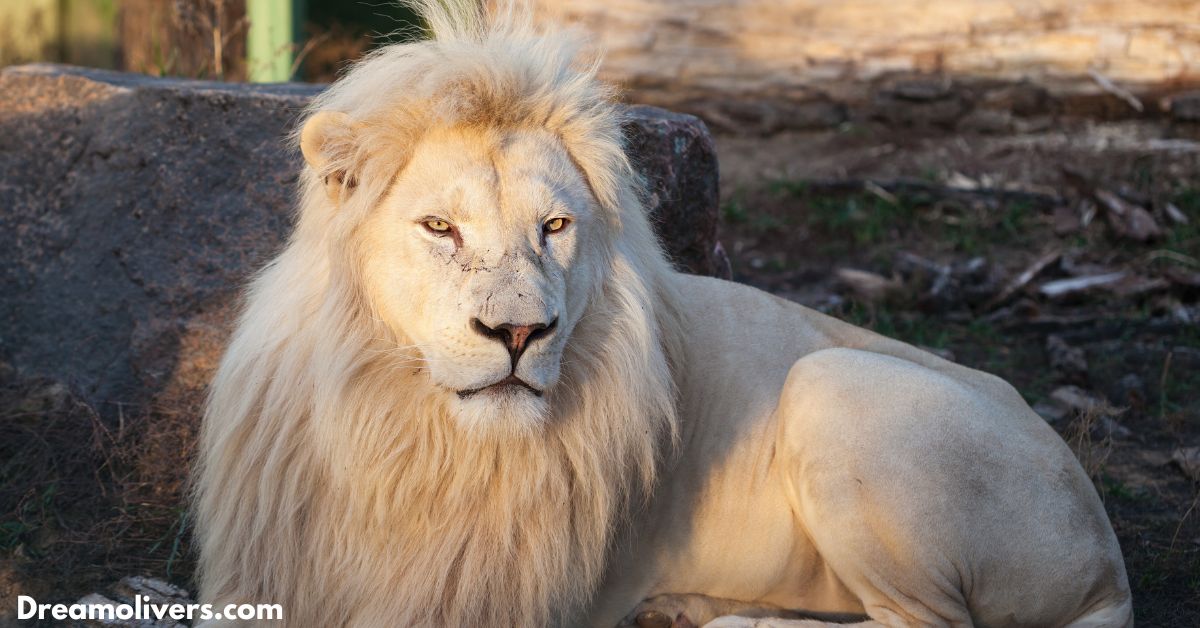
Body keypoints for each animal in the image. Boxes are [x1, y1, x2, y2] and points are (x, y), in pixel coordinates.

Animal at [192, 2, 1128, 624]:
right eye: (440, 228)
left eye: (554, 227)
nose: (520, 334)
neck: (410, 436)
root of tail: (1109, 561)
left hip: (831, 382)